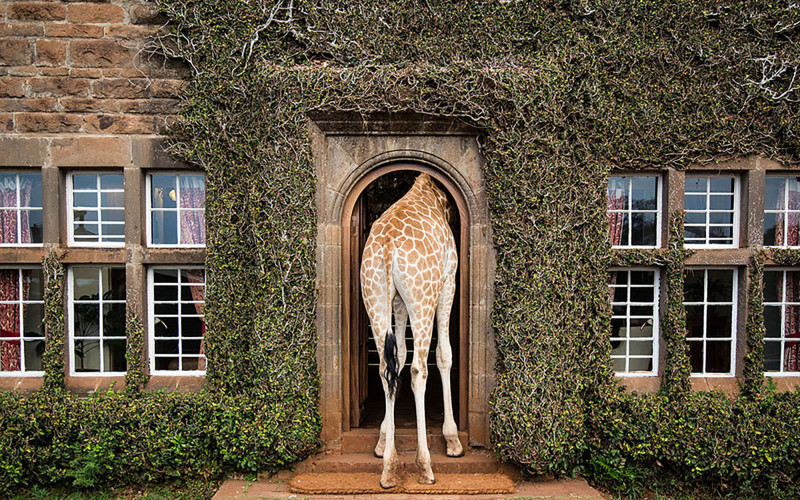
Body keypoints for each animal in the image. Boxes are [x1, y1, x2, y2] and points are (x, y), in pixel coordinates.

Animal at [360, 172, 463, 488]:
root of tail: (388, 246)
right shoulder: (449, 280)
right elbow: (444, 355)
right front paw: (453, 439)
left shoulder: (397, 300)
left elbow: (400, 356)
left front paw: (383, 440)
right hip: (424, 296)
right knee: (419, 368)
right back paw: (425, 465)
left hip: (374, 294)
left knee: (386, 367)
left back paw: (389, 468)